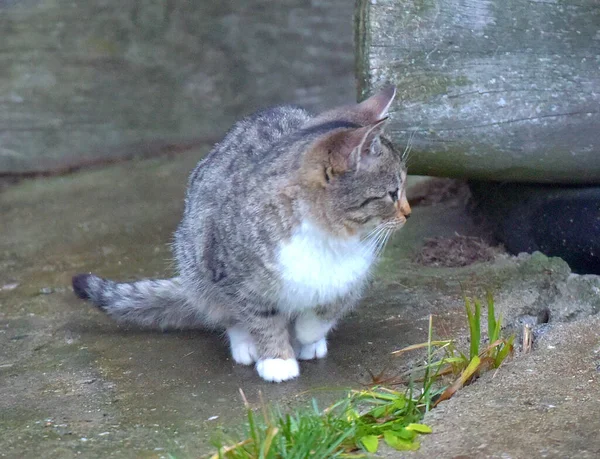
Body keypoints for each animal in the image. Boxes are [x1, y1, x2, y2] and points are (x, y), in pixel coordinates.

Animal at [69, 86, 408, 384]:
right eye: (392, 193)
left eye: (403, 187)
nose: (408, 212)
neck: (325, 235)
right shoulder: (231, 273)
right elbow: (260, 317)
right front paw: (277, 359)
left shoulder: (352, 275)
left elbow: (325, 310)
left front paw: (306, 335)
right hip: (195, 263)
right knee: (224, 313)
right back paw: (245, 344)